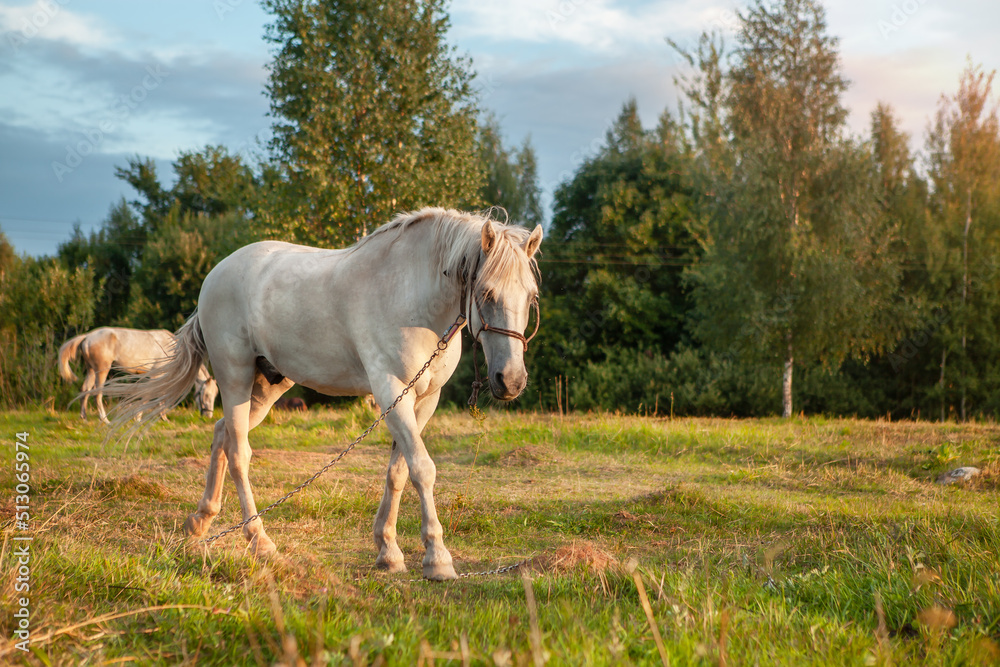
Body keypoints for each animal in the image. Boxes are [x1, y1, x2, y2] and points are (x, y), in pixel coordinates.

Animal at [59, 328, 219, 422]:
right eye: (205, 394)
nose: (208, 416)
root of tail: (88, 337)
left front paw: (162, 417)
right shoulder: (156, 376)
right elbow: (150, 395)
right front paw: (140, 417)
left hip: (91, 370)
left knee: (84, 390)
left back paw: (84, 417)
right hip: (101, 370)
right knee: (97, 393)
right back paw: (104, 420)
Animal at [105, 207, 544, 580]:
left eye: (531, 297)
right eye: (486, 293)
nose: (511, 381)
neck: (410, 295)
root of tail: (217, 273)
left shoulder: (423, 400)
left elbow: (399, 471)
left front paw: (388, 550)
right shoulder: (391, 391)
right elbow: (423, 468)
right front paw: (437, 559)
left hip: (267, 385)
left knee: (222, 436)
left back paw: (201, 520)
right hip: (234, 377)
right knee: (240, 452)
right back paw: (260, 541)